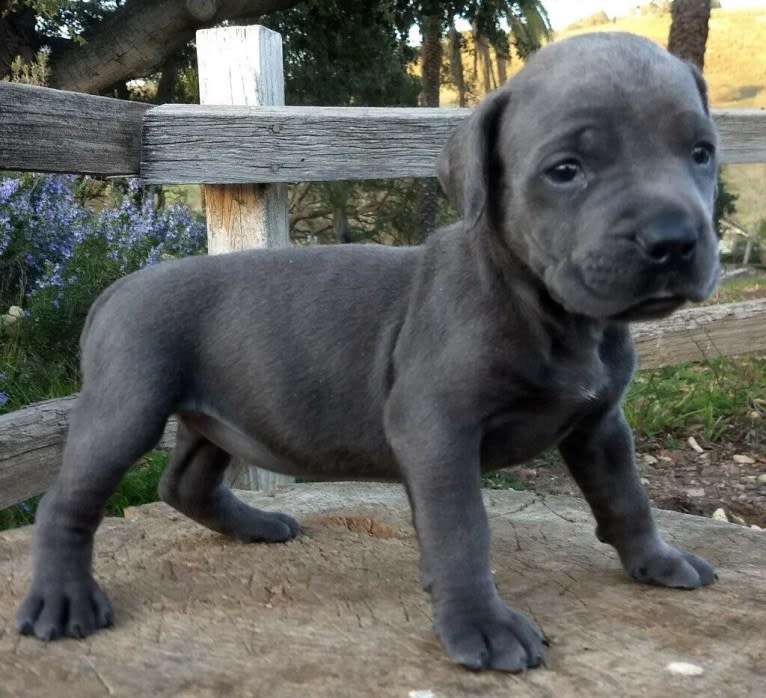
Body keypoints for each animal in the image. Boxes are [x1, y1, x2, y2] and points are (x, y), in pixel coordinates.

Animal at [19, 32, 728, 668]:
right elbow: (461, 528)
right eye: (565, 171)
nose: (673, 239)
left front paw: (658, 560)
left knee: (183, 481)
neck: (557, 315)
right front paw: (482, 625)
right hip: (126, 407)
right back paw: (63, 598)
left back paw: (255, 526)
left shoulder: (601, 424)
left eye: (701, 153)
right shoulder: (438, 428)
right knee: (67, 499)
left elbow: (627, 495)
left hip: (213, 412)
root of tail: (117, 288)